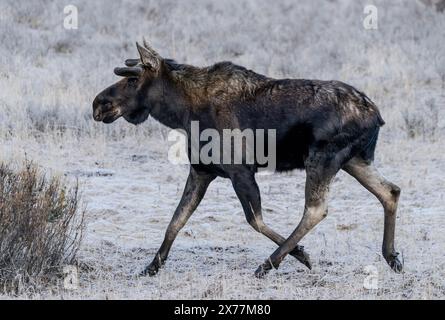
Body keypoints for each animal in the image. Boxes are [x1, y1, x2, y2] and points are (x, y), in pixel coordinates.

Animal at [92, 40, 400, 278]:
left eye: (132, 79)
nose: (99, 104)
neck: (180, 114)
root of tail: (377, 116)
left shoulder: (240, 170)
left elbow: (255, 219)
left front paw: (301, 254)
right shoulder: (202, 170)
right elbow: (175, 221)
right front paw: (151, 267)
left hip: (323, 159)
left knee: (316, 209)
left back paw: (268, 264)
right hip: (354, 161)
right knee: (390, 191)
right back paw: (392, 256)